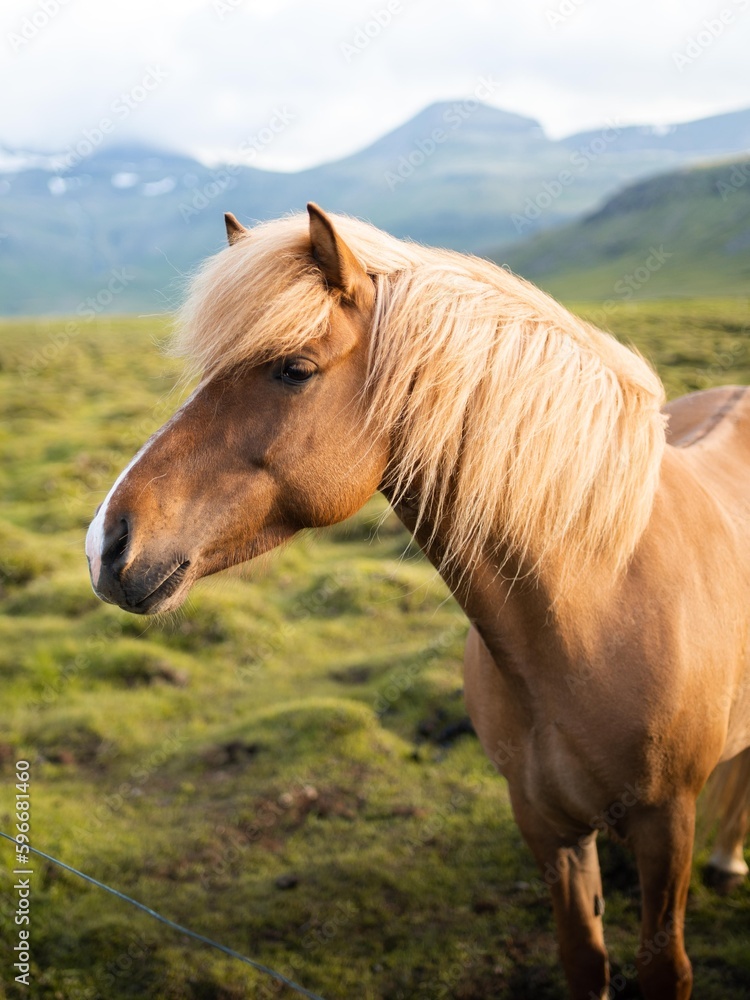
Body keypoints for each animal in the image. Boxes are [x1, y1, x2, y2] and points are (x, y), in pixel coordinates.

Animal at [85, 204, 750, 1000]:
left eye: (293, 369)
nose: (106, 543)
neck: (599, 606)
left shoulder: (664, 826)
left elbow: (664, 968)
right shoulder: (546, 826)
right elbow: (584, 958)